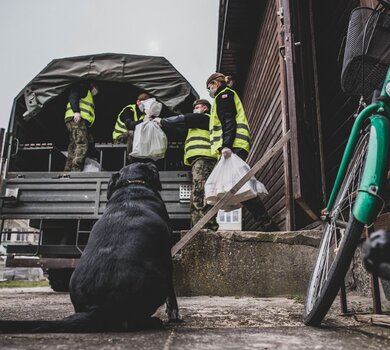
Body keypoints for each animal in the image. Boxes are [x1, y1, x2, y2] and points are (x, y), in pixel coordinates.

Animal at [0, 163, 180, 332]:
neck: (131, 185)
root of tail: (98, 309)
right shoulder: (167, 254)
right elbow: (172, 295)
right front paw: (174, 314)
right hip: (159, 279)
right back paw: (153, 321)